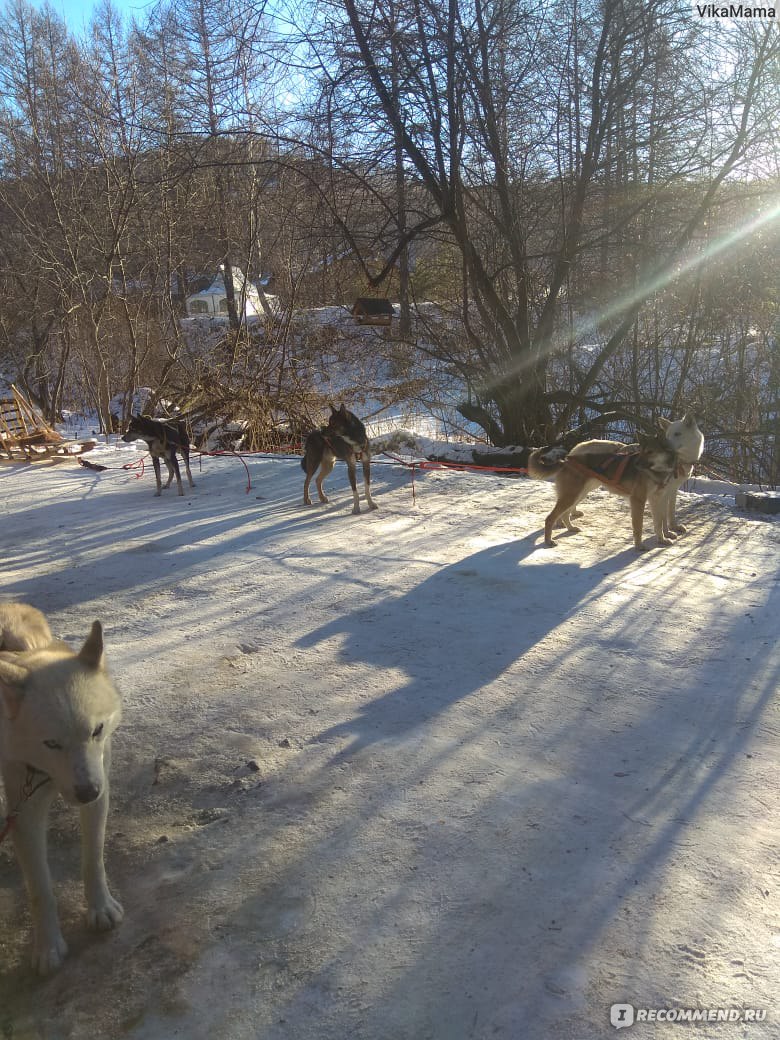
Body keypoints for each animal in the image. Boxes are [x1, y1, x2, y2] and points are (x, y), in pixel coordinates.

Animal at [0, 607, 122, 969]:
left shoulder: (100, 783)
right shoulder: (24, 813)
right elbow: (40, 890)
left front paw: (100, 908)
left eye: (97, 730)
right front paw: (48, 946)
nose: (86, 792)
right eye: (51, 743)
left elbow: (93, 858)